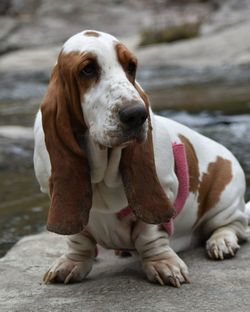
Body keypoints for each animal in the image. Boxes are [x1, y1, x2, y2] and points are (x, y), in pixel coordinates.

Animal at [33, 29, 250, 288]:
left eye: (131, 66)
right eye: (87, 69)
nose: (137, 115)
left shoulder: (163, 191)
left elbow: (149, 233)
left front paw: (163, 264)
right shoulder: (58, 196)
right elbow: (78, 236)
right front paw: (72, 263)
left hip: (225, 199)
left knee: (234, 225)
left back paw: (221, 242)